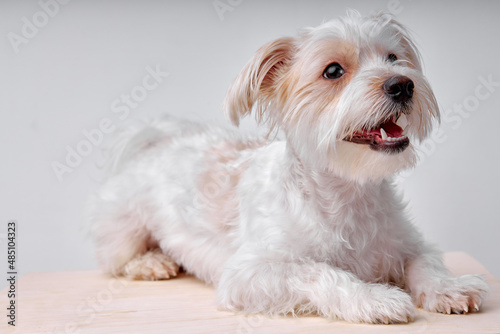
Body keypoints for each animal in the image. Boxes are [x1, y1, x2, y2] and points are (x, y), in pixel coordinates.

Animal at [86, 11, 488, 324]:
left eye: (393, 57)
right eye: (333, 71)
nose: (402, 84)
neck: (345, 194)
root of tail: (160, 138)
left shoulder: (407, 244)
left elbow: (426, 263)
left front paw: (450, 288)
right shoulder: (250, 273)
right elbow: (319, 271)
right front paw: (374, 298)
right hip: (125, 230)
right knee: (114, 259)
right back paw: (151, 262)